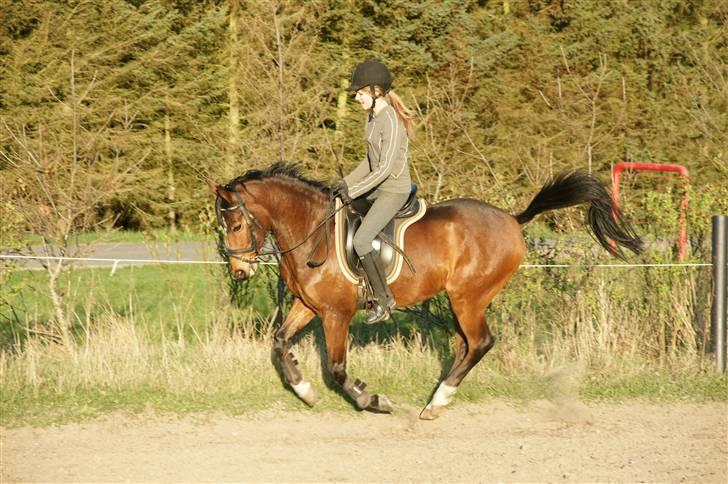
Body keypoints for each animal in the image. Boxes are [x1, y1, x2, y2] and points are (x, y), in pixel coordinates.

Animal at [208, 162, 642, 419]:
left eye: (236, 225)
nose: (239, 271)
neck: (312, 230)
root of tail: (512, 219)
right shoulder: (308, 304)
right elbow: (280, 342)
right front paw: (304, 390)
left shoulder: (336, 314)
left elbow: (338, 368)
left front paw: (372, 400)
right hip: (461, 300)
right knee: (467, 345)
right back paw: (440, 396)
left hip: (468, 297)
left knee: (480, 342)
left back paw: (438, 401)